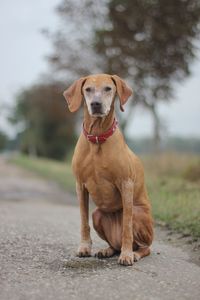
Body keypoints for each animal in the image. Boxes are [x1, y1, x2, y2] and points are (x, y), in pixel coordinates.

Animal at [63, 74, 154, 266]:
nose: (96, 104)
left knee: (145, 247)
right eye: (88, 89)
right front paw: (84, 247)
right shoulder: (80, 185)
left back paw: (133, 253)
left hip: (139, 215)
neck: (97, 138)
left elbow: (127, 225)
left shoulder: (126, 184)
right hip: (98, 214)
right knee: (113, 244)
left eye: (108, 89)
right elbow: (83, 220)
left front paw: (126, 255)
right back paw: (107, 250)